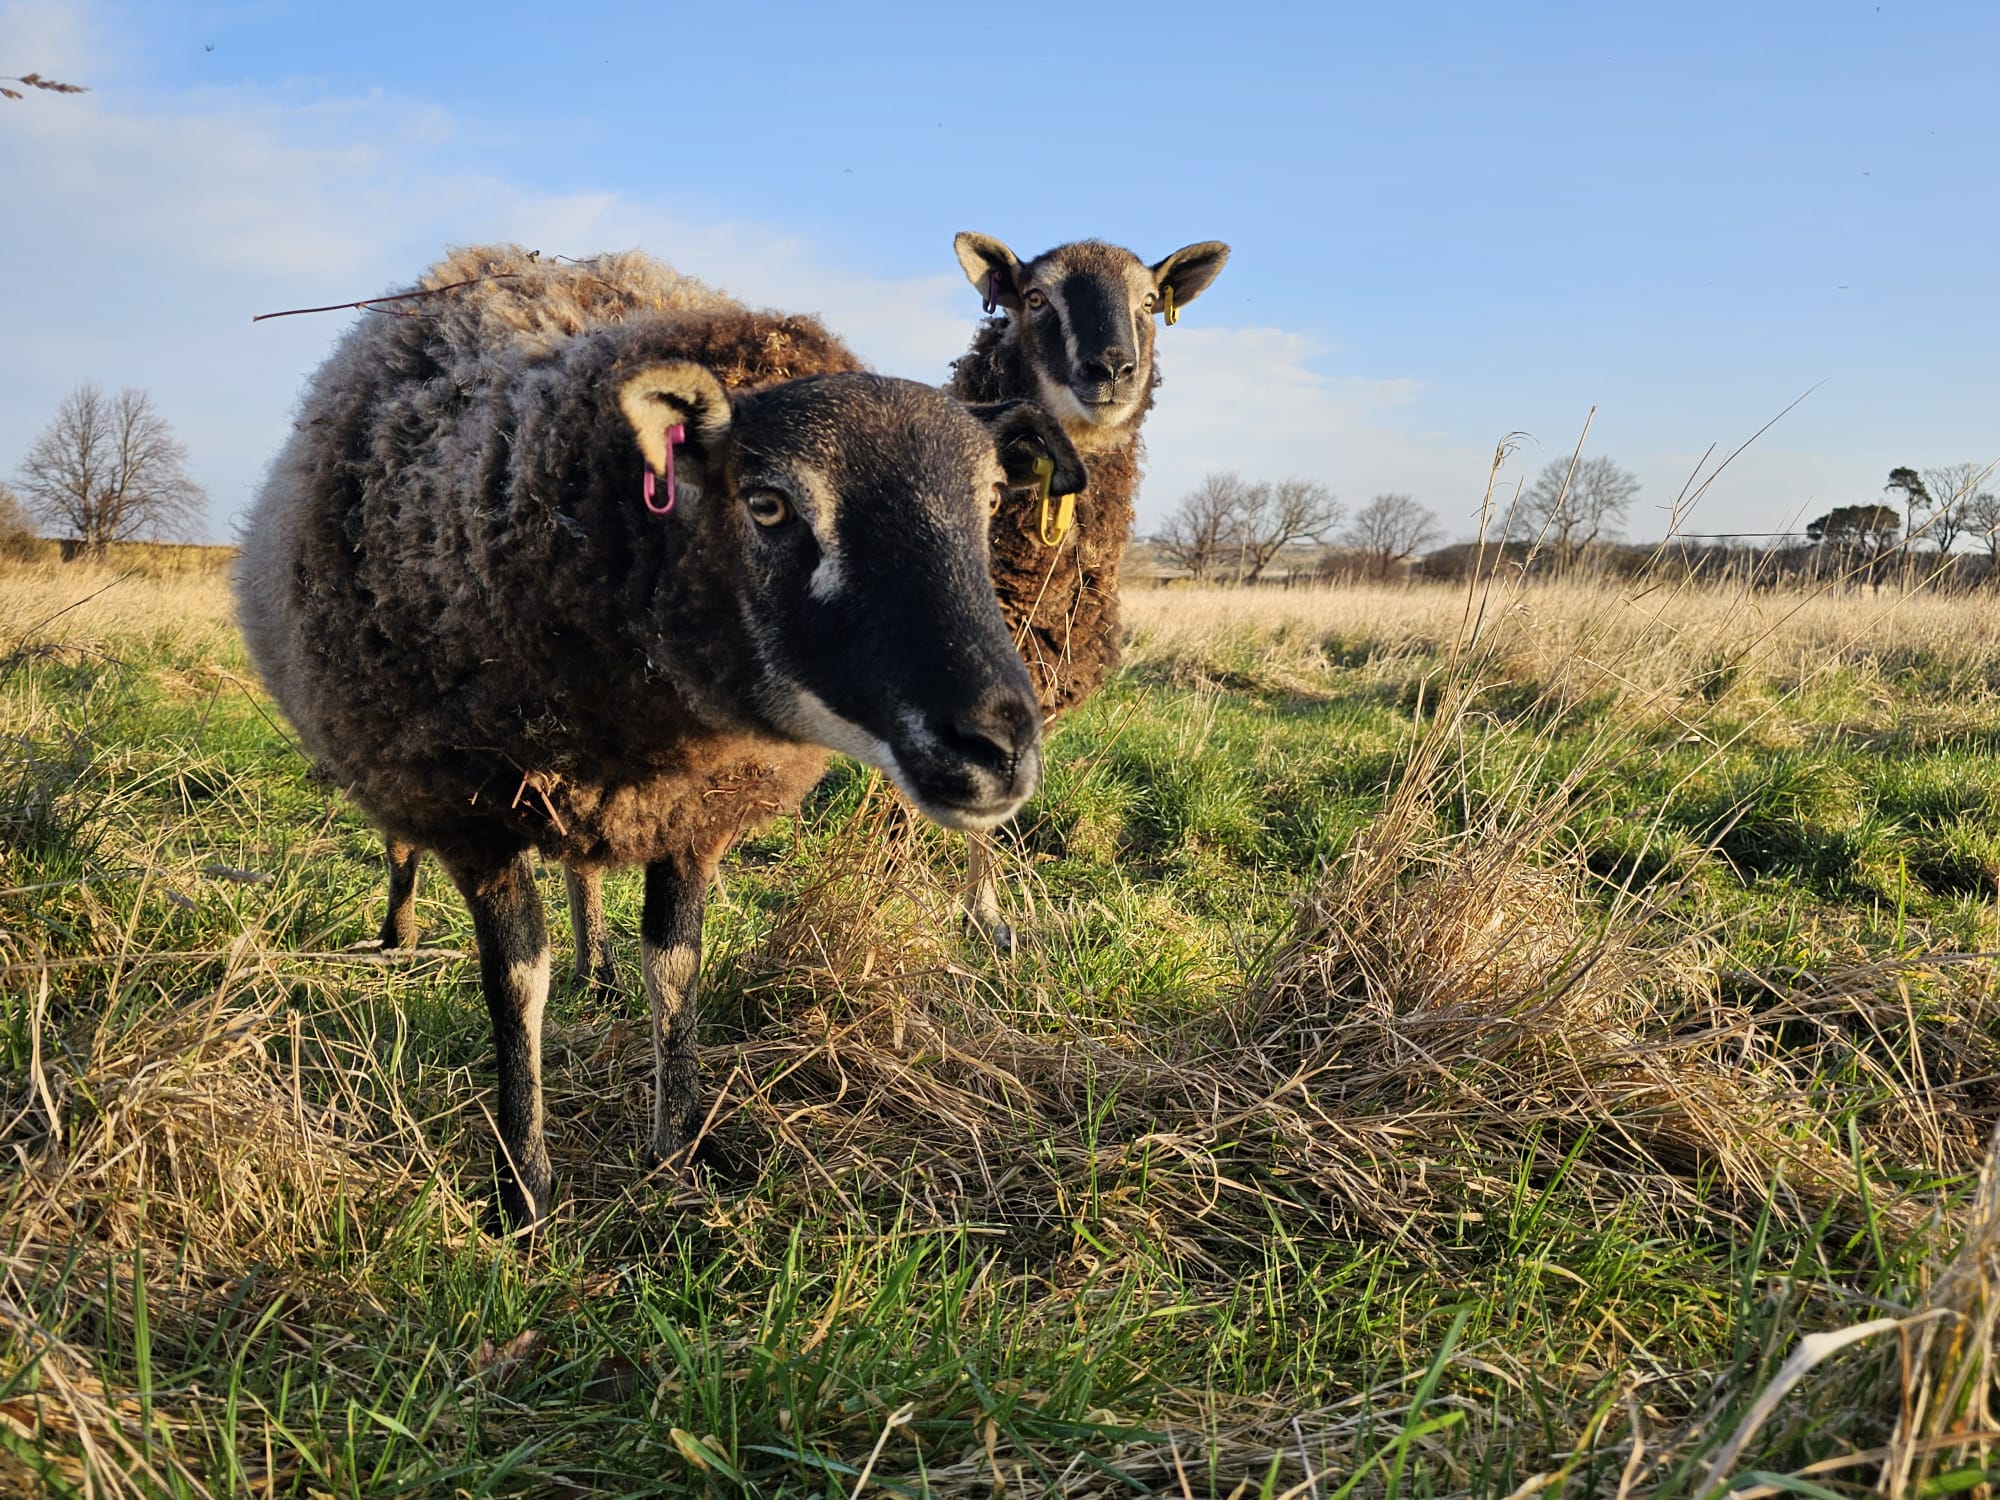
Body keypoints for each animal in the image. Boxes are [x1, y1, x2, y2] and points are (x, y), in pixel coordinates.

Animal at [236, 245, 1085, 1227]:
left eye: (989, 503)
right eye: (768, 504)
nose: (999, 748)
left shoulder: (692, 809)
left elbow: (676, 966)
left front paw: (681, 1149)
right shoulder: (471, 811)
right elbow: (514, 981)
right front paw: (523, 1188)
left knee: (583, 870)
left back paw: (597, 964)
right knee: (404, 847)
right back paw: (399, 934)